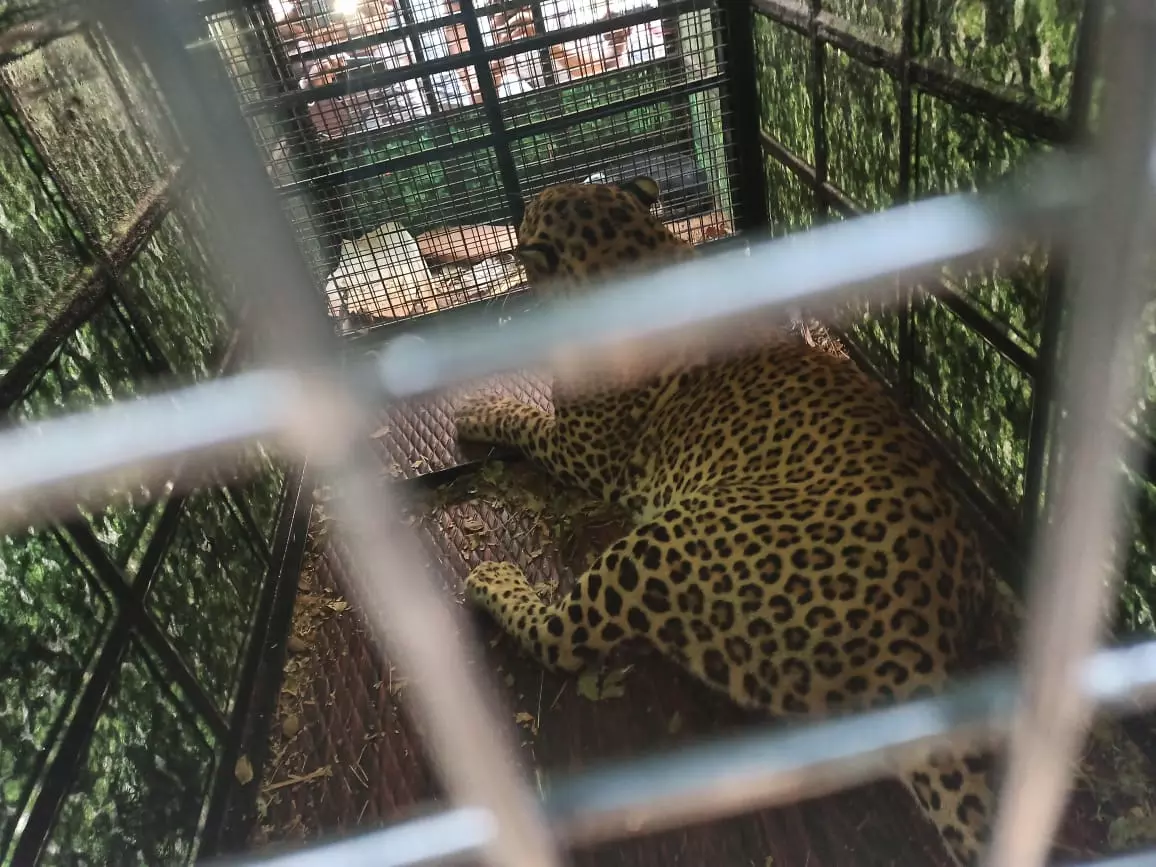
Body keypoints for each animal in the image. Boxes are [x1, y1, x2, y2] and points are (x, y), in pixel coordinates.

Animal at [452, 176, 1029, 866]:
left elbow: (523, 418)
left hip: (663, 545)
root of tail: (922, 648)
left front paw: (476, 408)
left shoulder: (583, 449)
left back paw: (492, 580)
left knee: (561, 638)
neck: (637, 251)